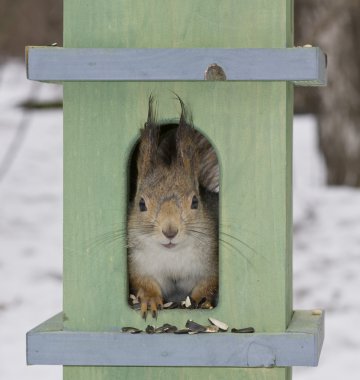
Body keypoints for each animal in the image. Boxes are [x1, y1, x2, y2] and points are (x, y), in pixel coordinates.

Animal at [128, 95, 218, 318]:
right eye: (141, 204)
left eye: (195, 202)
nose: (170, 231)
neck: (173, 255)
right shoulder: (139, 264)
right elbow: (143, 281)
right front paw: (150, 298)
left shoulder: (211, 262)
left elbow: (209, 282)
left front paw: (201, 299)